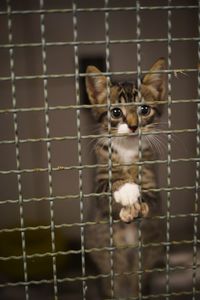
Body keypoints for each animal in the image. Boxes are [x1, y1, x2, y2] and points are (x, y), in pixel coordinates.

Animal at [85, 58, 165, 298]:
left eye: (144, 109)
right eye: (116, 112)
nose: (132, 125)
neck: (128, 150)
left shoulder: (150, 177)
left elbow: (150, 199)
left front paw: (136, 205)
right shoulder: (101, 177)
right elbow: (107, 188)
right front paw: (126, 191)